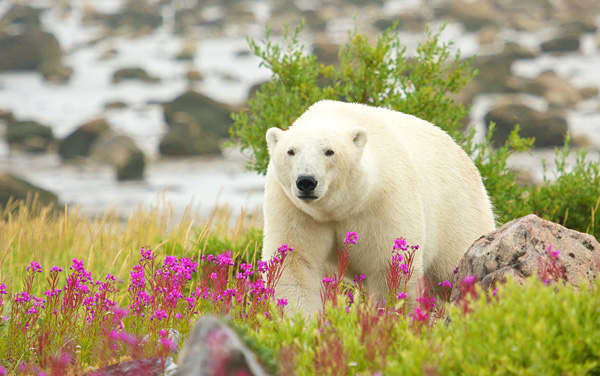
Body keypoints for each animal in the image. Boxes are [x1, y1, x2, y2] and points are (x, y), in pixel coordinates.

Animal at [264, 100, 496, 314]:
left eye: (329, 151)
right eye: (290, 151)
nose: (306, 181)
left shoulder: (384, 201)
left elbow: (389, 267)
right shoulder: (295, 209)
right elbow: (295, 261)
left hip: (456, 213)